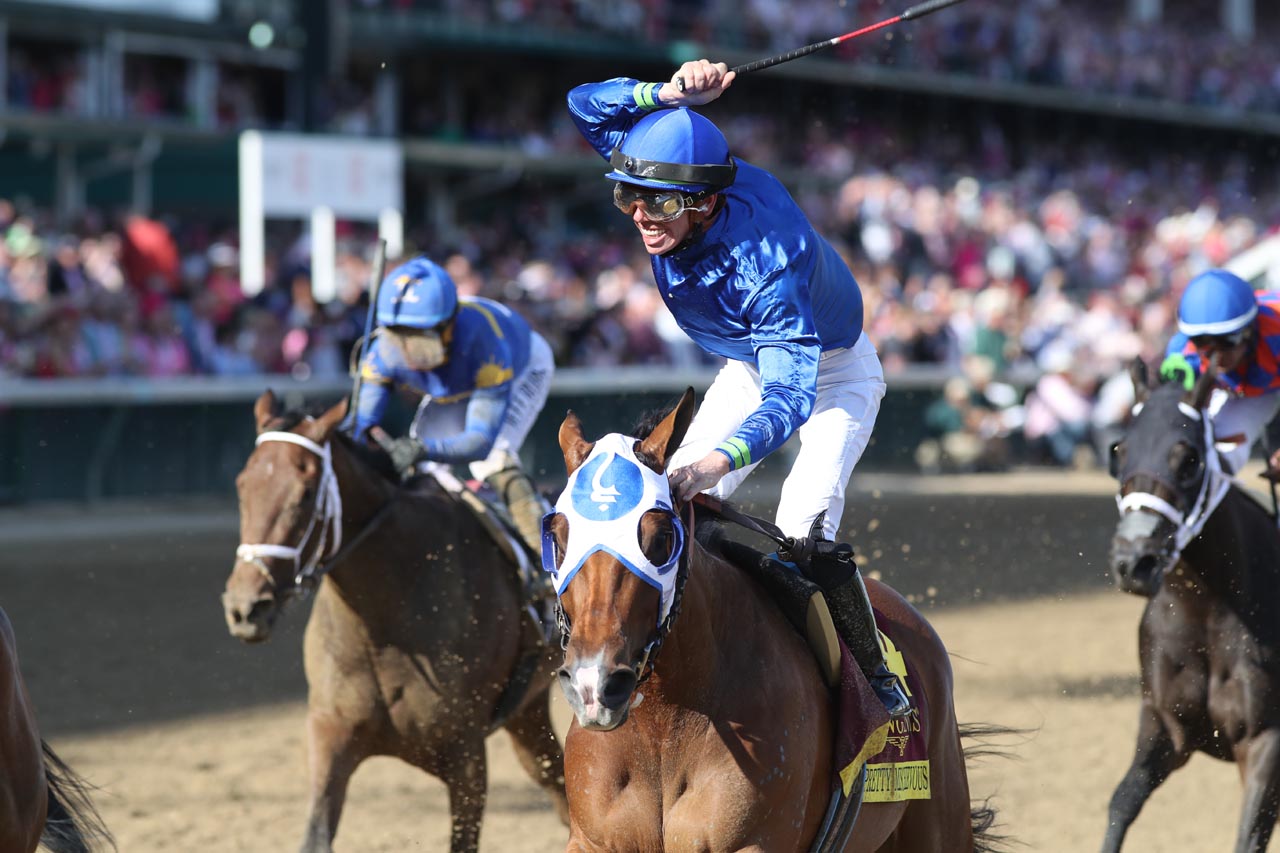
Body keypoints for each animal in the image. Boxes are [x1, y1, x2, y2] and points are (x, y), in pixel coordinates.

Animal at [222, 391, 568, 850]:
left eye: (306, 493)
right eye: (243, 486)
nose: (246, 608)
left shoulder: (466, 754)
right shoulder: (330, 735)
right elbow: (316, 834)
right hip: (526, 711)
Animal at [540, 389, 998, 850]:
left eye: (662, 538)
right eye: (558, 539)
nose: (595, 686)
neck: (663, 727)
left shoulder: (752, 840)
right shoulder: (592, 840)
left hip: (940, 819)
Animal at [1105, 358, 1280, 850]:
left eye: (1189, 459)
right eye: (1119, 450)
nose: (1134, 562)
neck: (1207, 607)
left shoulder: (1265, 740)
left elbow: (1248, 836)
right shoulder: (1165, 726)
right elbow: (1121, 803)